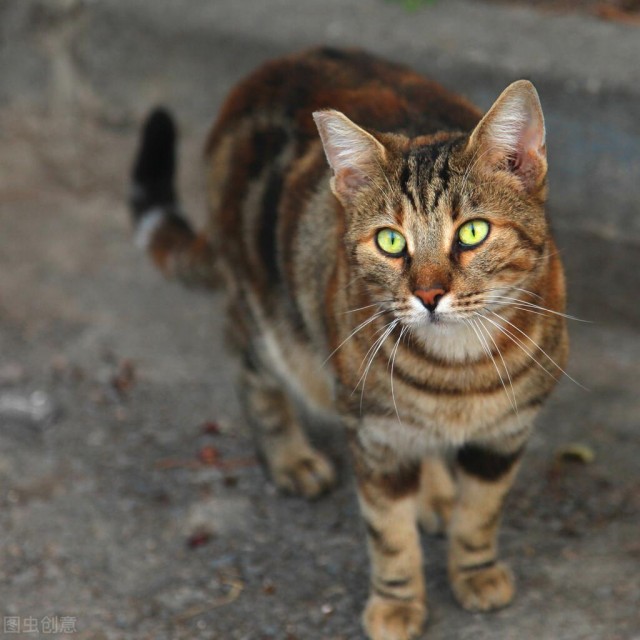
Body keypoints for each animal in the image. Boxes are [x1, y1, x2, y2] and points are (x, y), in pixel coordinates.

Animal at [127, 47, 568, 636]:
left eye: (473, 232)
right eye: (391, 242)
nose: (428, 294)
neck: (459, 369)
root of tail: (267, 70)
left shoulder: (507, 432)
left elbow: (481, 512)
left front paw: (474, 570)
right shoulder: (371, 432)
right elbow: (389, 533)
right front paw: (397, 603)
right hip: (267, 321)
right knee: (249, 369)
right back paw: (290, 457)